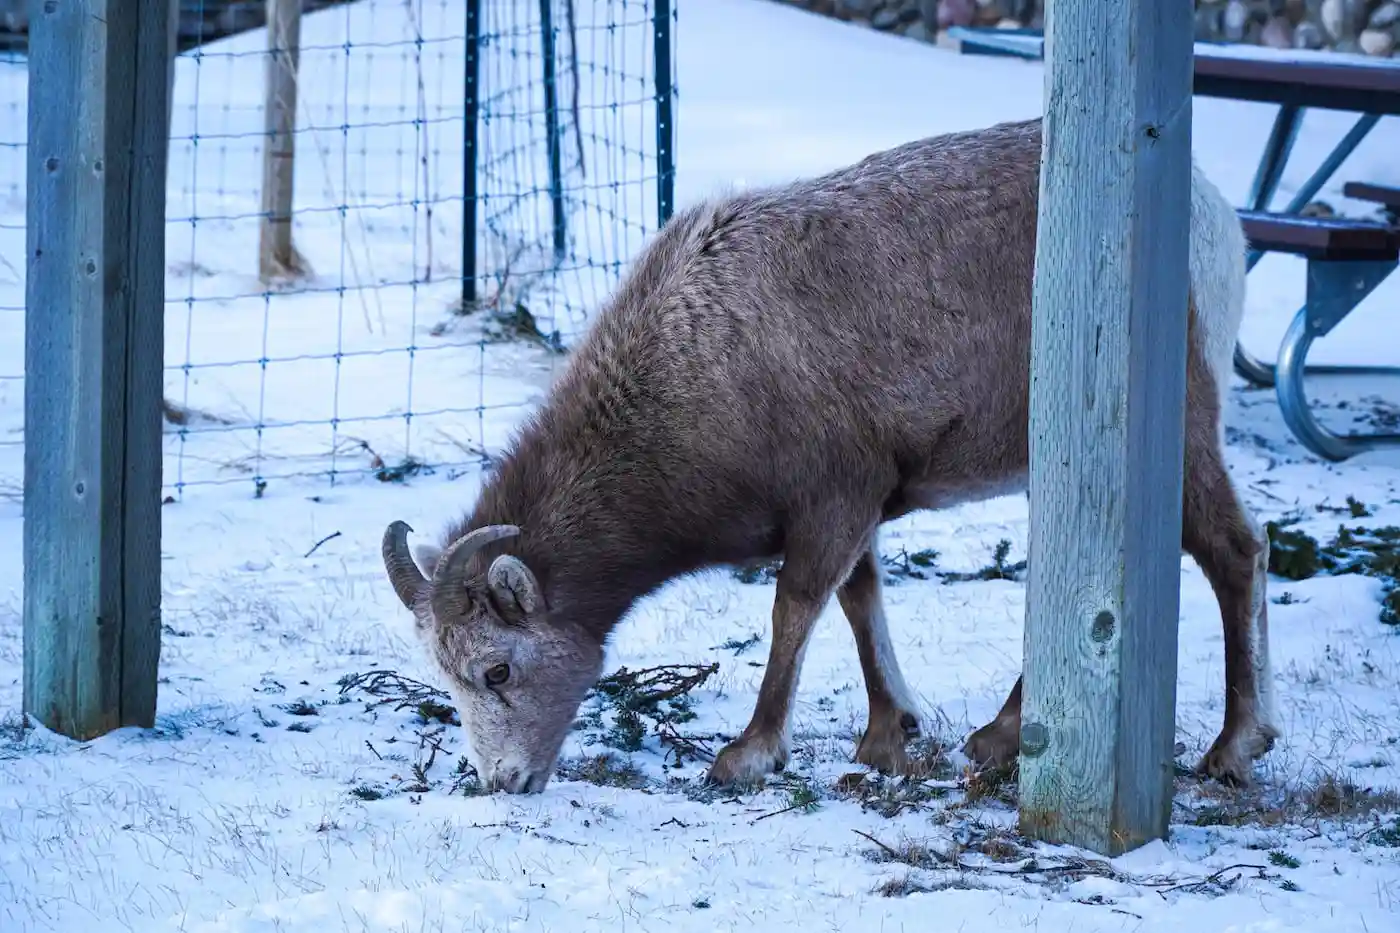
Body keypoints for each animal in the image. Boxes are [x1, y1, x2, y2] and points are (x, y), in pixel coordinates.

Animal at [381, 116, 1277, 795]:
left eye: (498, 670)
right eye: (448, 677)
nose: (504, 781)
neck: (698, 366)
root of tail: (1213, 222)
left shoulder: (833, 500)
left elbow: (797, 609)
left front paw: (749, 754)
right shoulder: (858, 507)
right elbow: (860, 602)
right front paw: (889, 736)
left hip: (1186, 431)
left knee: (1232, 549)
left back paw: (1232, 749)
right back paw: (999, 735)